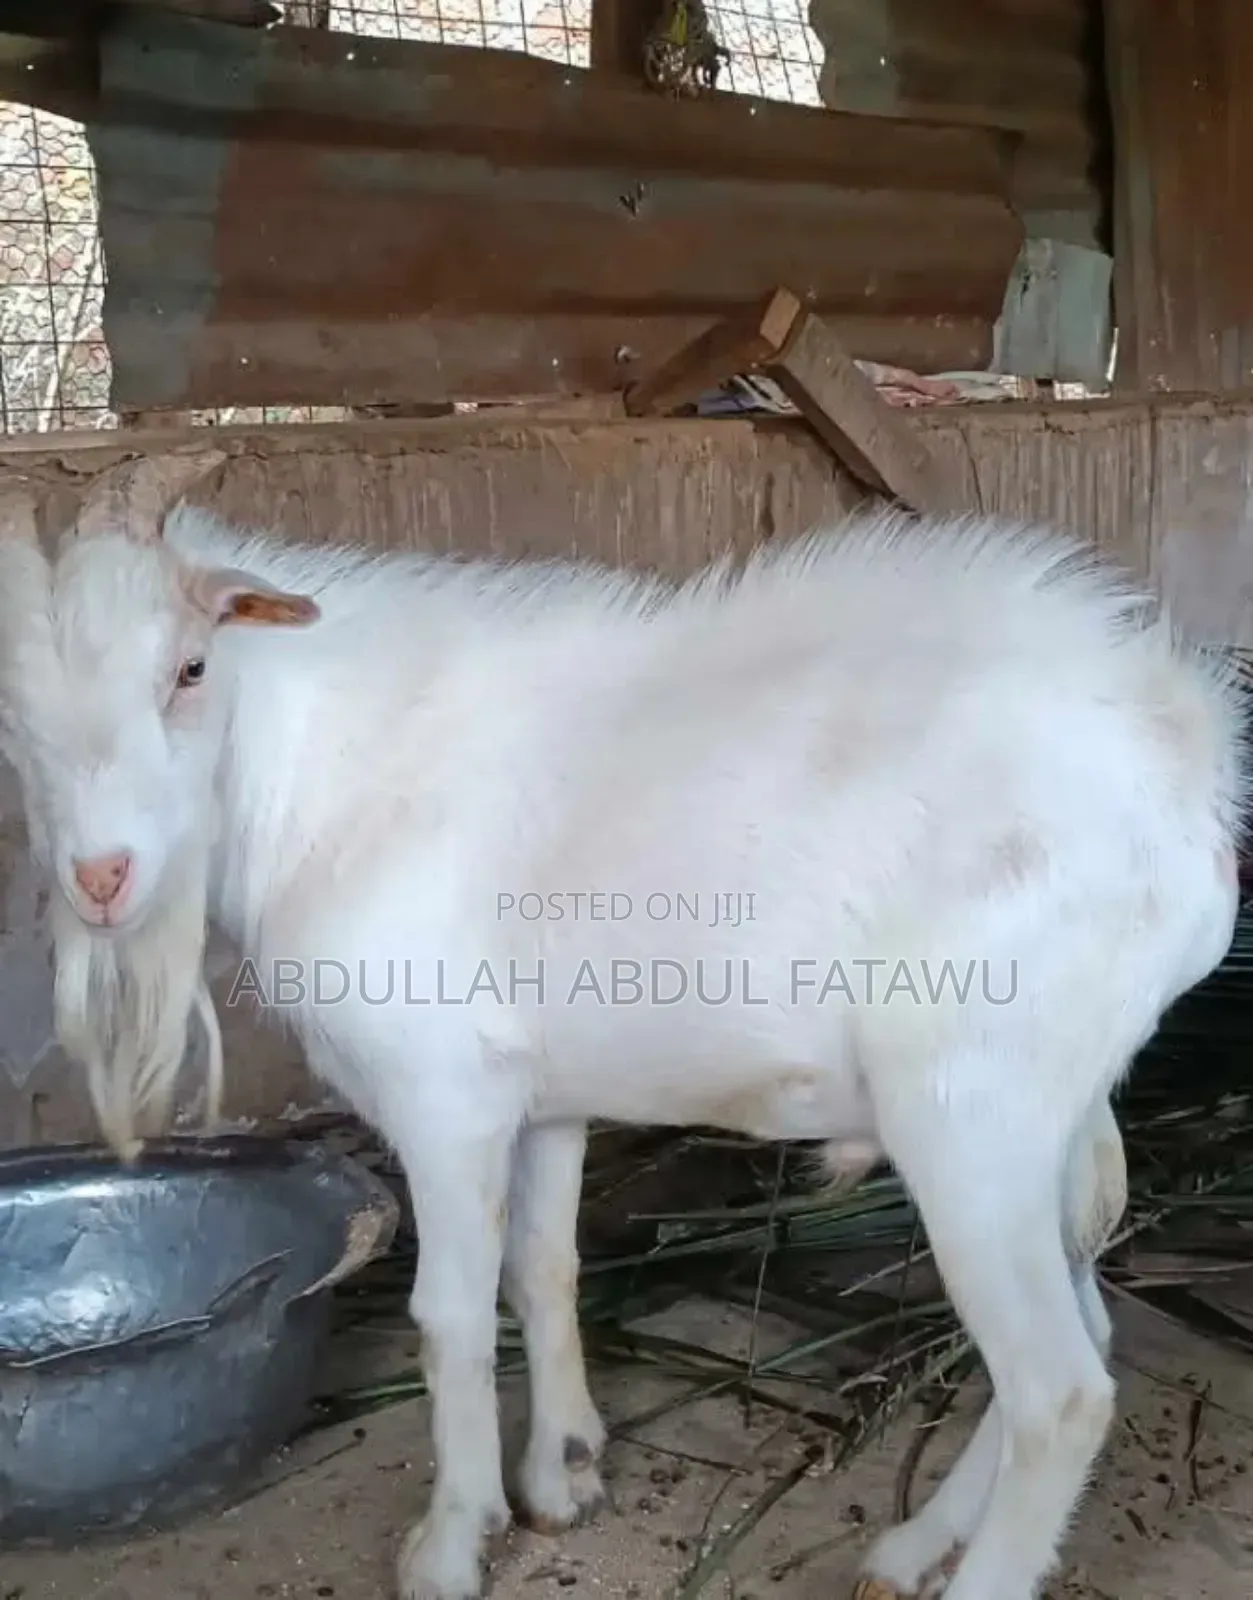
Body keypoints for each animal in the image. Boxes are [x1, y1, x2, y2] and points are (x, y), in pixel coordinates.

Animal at [0, 493, 1245, 1600]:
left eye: (189, 669)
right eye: (17, 713)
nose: (101, 877)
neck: (326, 781)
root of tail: (1183, 762)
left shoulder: (443, 1096)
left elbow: (448, 1316)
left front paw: (451, 1542)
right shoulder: (541, 1097)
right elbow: (543, 1271)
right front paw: (563, 1476)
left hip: (969, 1111)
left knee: (1060, 1391)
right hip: (1047, 1113)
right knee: (1082, 1326)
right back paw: (908, 1549)